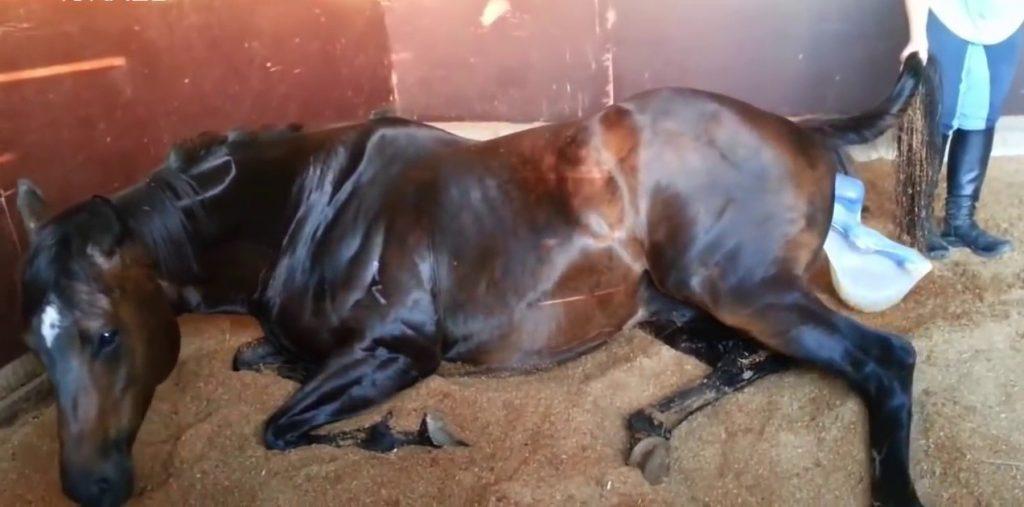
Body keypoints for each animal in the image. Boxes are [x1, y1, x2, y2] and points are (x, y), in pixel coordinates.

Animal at [15, 53, 939, 507]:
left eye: (105, 332)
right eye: (35, 340)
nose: (89, 488)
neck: (303, 210)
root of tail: (805, 128)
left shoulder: (398, 351)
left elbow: (278, 429)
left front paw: (418, 434)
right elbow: (258, 364)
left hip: (740, 288)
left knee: (883, 359)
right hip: (677, 306)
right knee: (752, 362)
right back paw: (649, 429)